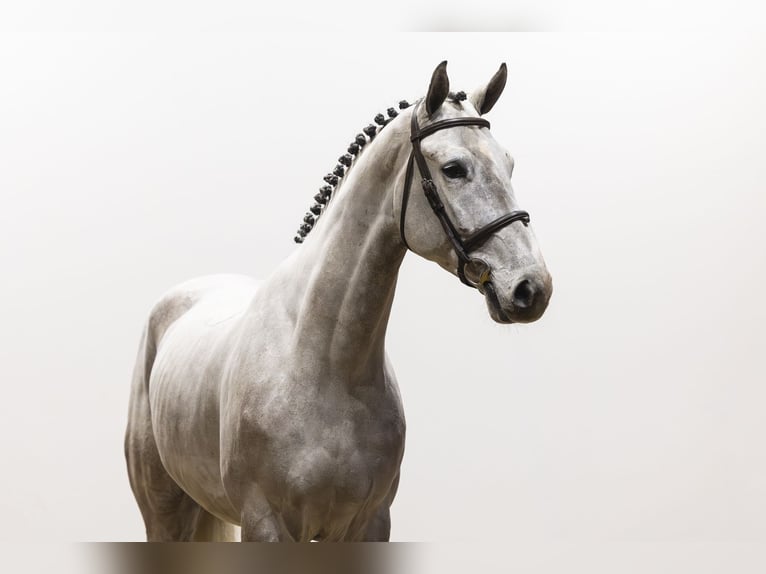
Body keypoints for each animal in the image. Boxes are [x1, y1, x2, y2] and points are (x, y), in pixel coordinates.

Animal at [124, 61, 552, 542]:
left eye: (509, 162)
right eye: (453, 168)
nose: (531, 287)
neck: (322, 361)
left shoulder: (370, 522)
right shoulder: (266, 524)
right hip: (163, 512)